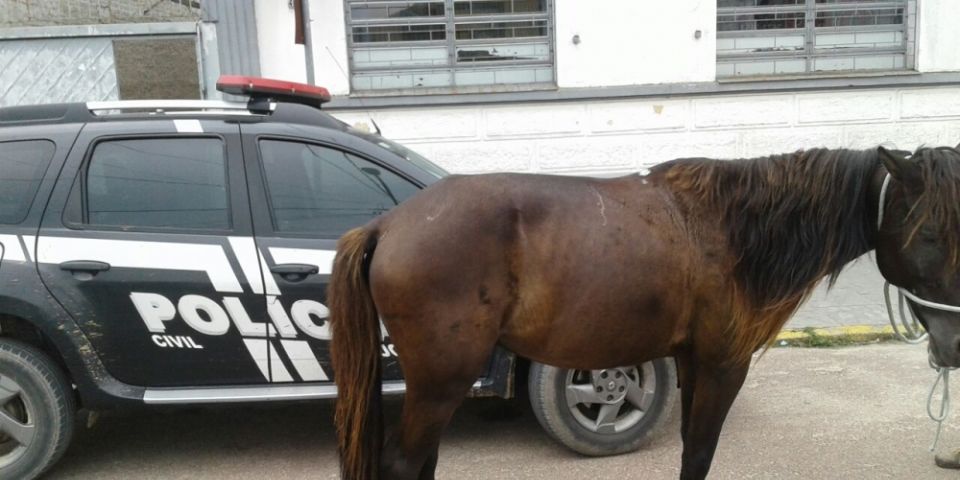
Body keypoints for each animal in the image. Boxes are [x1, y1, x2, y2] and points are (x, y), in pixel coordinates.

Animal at [328, 145, 960, 480]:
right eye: (929, 232)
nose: (953, 346)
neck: (730, 230)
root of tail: (388, 225)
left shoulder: (690, 362)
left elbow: (687, 448)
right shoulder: (724, 364)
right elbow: (700, 452)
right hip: (440, 382)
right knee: (405, 464)